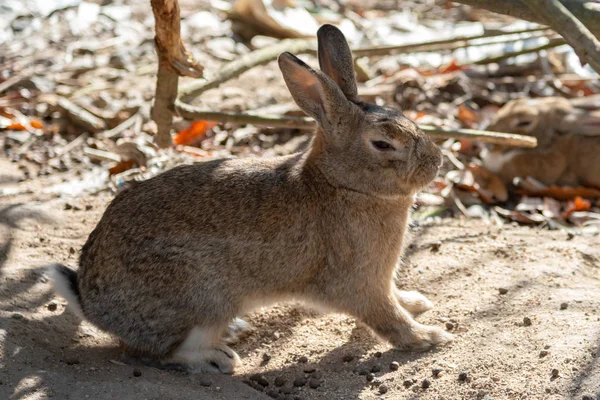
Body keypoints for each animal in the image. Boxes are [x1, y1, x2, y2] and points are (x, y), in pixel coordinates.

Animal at [49, 25, 452, 376]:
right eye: (382, 144)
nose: (436, 162)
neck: (341, 183)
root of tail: (91, 302)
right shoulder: (360, 283)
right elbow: (386, 316)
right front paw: (429, 337)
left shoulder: (380, 279)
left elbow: (394, 298)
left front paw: (416, 302)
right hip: (201, 298)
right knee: (150, 352)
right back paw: (216, 357)